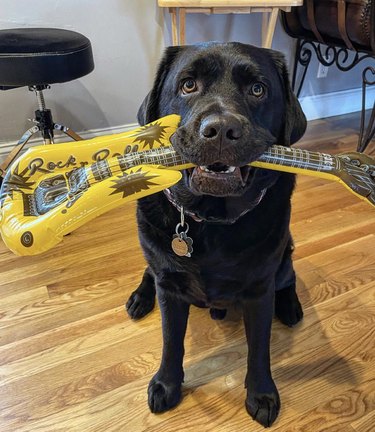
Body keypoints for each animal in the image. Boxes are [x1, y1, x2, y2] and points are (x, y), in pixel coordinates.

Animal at [126, 42, 308, 426]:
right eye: (188, 85)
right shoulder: (170, 287)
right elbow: (171, 340)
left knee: (289, 277)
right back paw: (139, 297)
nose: (222, 129)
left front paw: (262, 393)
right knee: (149, 271)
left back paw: (290, 306)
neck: (210, 220)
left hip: (283, 255)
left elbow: (259, 347)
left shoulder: (259, 289)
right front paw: (166, 384)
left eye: (258, 90)